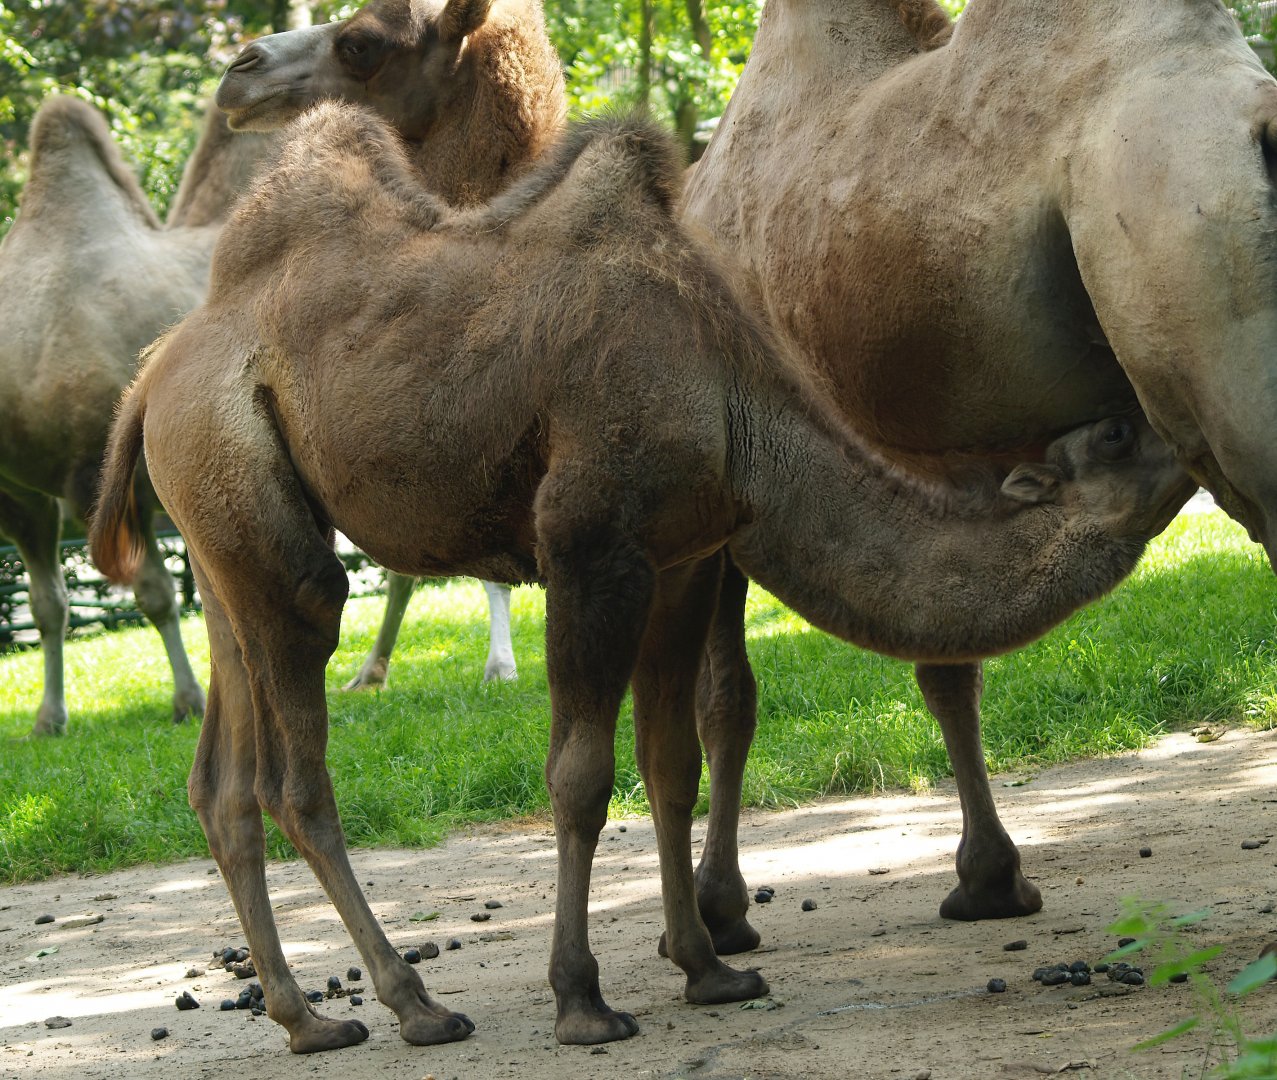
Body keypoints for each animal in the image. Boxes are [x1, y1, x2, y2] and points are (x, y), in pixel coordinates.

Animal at [0, 96, 273, 736]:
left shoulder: (93, 472)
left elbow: (154, 591)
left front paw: (190, 699)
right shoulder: (21, 493)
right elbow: (48, 605)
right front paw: (49, 718)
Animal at [90, 105, 1193, 1050]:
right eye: (1112, 432)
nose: (1178, 424)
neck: (735, 402)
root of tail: (151, 372)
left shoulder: (684, 559)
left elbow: (672, 762)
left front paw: (708, 968)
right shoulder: (591, 543)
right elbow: (579, 775)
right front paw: (582, 999)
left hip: (224, 535)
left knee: (221, 781)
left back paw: (310, 1021)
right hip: (250, 500)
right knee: (296, 759)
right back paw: (415, 1005)